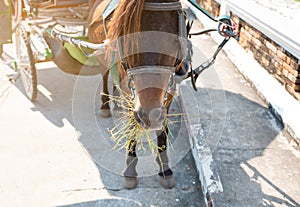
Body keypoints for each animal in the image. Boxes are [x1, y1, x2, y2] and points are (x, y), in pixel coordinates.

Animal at [88, 0, 185, 189]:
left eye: (174, 42)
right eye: (128, 39)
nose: (149, 115)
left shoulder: (169, 91)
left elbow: (163, 130)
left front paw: (164, 167)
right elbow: (132, 128)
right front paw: (130, 170)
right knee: (105, 74)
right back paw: (105, 105)